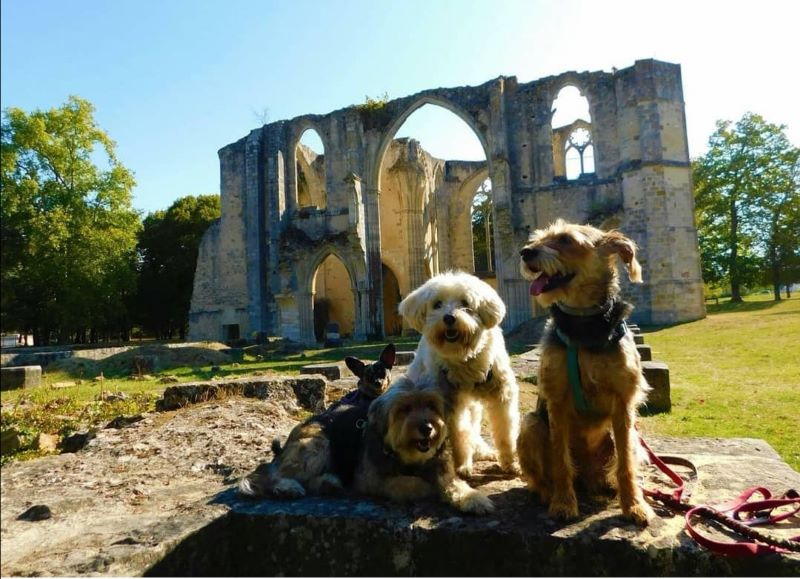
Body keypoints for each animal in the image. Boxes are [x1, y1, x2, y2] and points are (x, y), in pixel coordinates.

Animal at [239, 344, 398, 498]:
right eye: (368, 377)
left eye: (382, 373)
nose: (378, 383)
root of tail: (281, 454)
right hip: (319, 444)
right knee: (276, 477)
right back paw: (289, 488)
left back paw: (329, 482)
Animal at [354, 376, 494, 516]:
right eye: (405, 409)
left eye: (431, 406)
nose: (427, 428)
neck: (412, 458)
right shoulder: (370, 479)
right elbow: (404, 482)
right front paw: (430, 488)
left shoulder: (441, 467)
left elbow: (453, 482)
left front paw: (473, 498)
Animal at [398, 270, 520, 476]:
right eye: (437, 304)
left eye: (465, 303)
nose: (449, 318)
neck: (464, 357)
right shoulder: (450, 402)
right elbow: (459, 434)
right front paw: (462, 465)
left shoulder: (502, 395)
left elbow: (506, 430)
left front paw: (511, 463)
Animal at [516, 221, 652, 524]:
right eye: (539, 237)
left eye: (567, 240)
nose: (525, 252)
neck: (583, 325)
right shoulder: (556, 400)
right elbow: (560, 461)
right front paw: (563, 504)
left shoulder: (623, 403)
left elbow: (625, 463)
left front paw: (634, 505)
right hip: (531, 425)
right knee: (539, 476)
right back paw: (547, 493)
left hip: (630, 438)